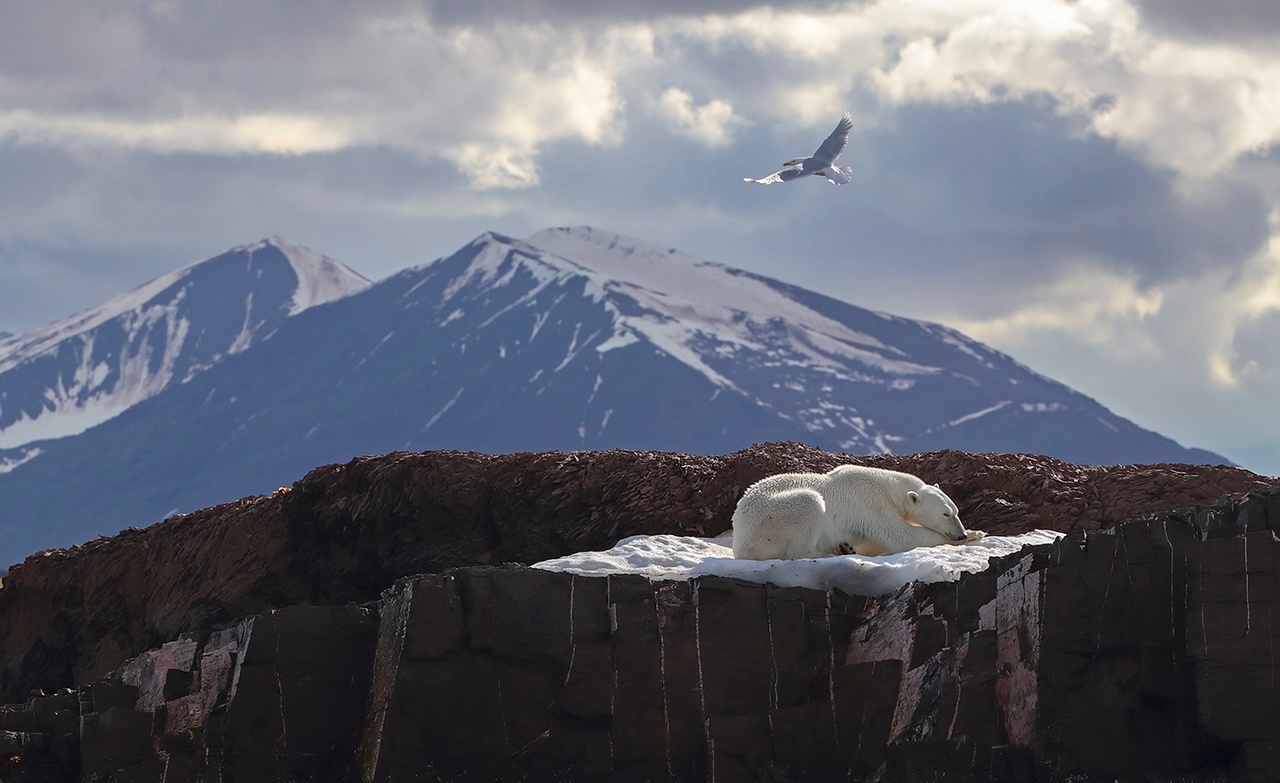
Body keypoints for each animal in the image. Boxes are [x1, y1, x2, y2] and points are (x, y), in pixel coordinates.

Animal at [732, 460, 977, 560]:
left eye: (956, 511)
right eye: (945, 514)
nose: (960, 534)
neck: (887, 487)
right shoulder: (871, 504)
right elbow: (901, 536)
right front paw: (976, 534)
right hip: (771, 520)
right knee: (808, 506)